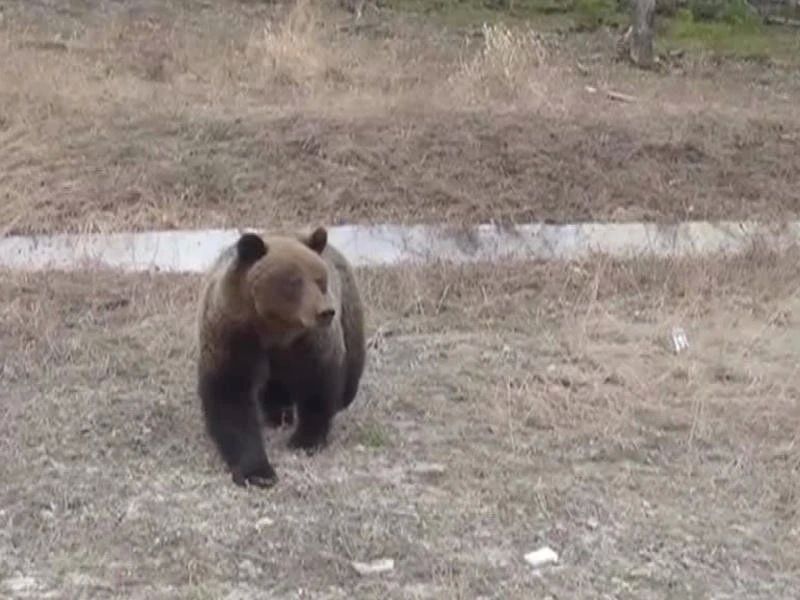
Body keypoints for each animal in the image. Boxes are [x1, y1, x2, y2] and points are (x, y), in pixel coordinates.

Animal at [196, 226, 366, 488]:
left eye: (320, 279)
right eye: (294, 281)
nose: (325, 311)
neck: (274, 328)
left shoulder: (309, 341)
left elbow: (318, 383)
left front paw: (305, 439)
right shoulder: (233, 334)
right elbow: (230, 395)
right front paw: (258, 471)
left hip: (349, 311)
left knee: (349, 376)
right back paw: (277, 413)